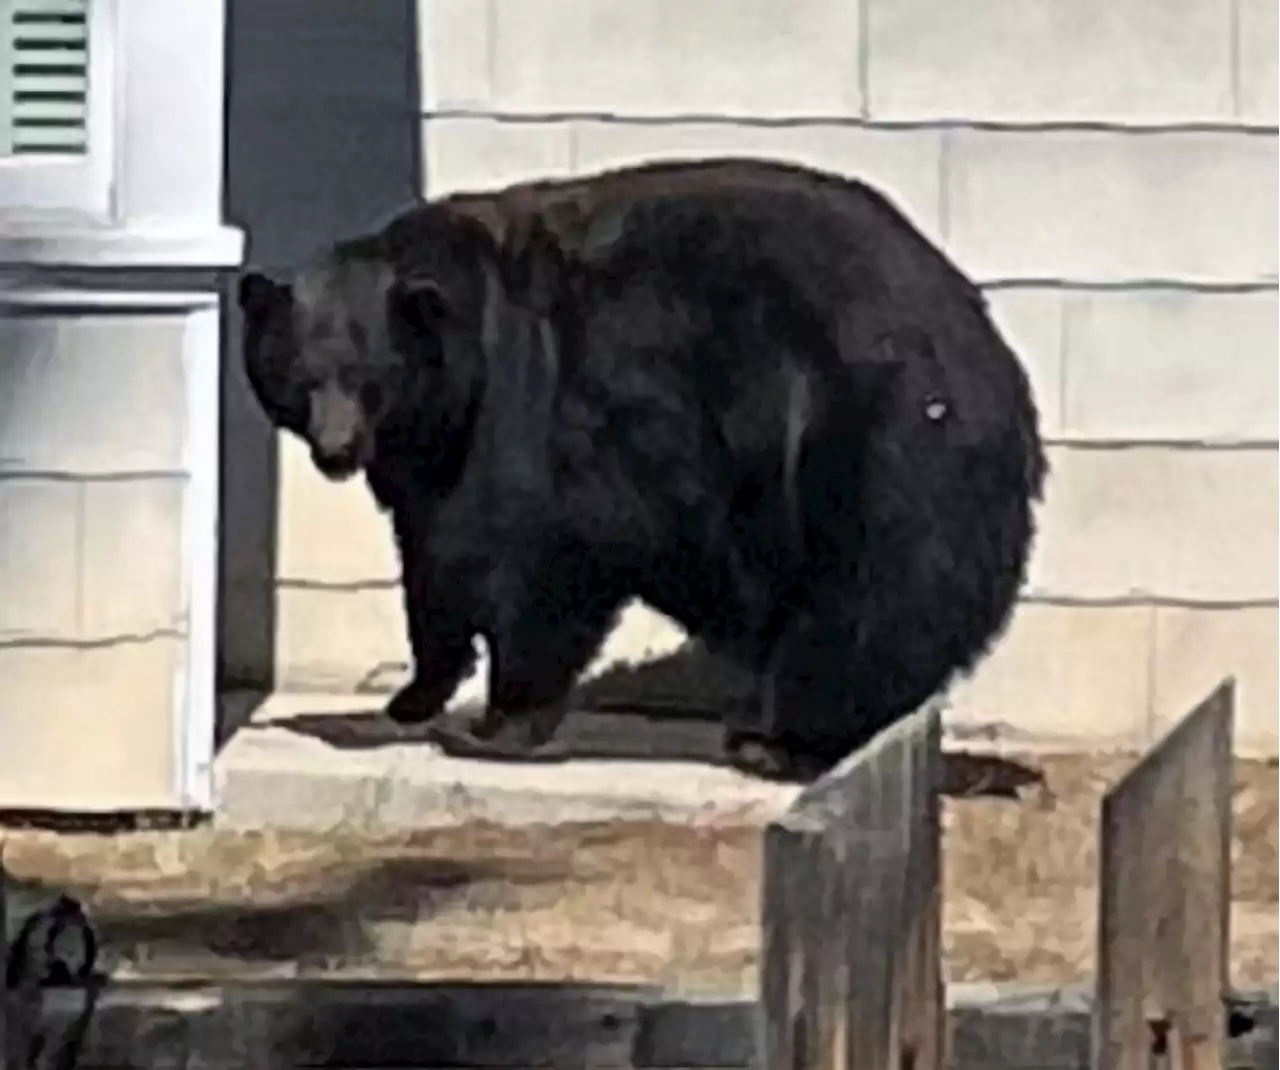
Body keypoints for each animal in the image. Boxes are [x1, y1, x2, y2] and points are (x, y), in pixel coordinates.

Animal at [241, 156, 1049, 778]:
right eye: (302, 376)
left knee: (866, 598)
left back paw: (780, 740)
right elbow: (434, 561)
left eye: (370, 377)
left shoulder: (537, 407)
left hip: (869, 443)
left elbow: (535, 558)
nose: (336, 451)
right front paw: (413, 695)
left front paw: (495, 723)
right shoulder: (430, 459)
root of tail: (995, 360)